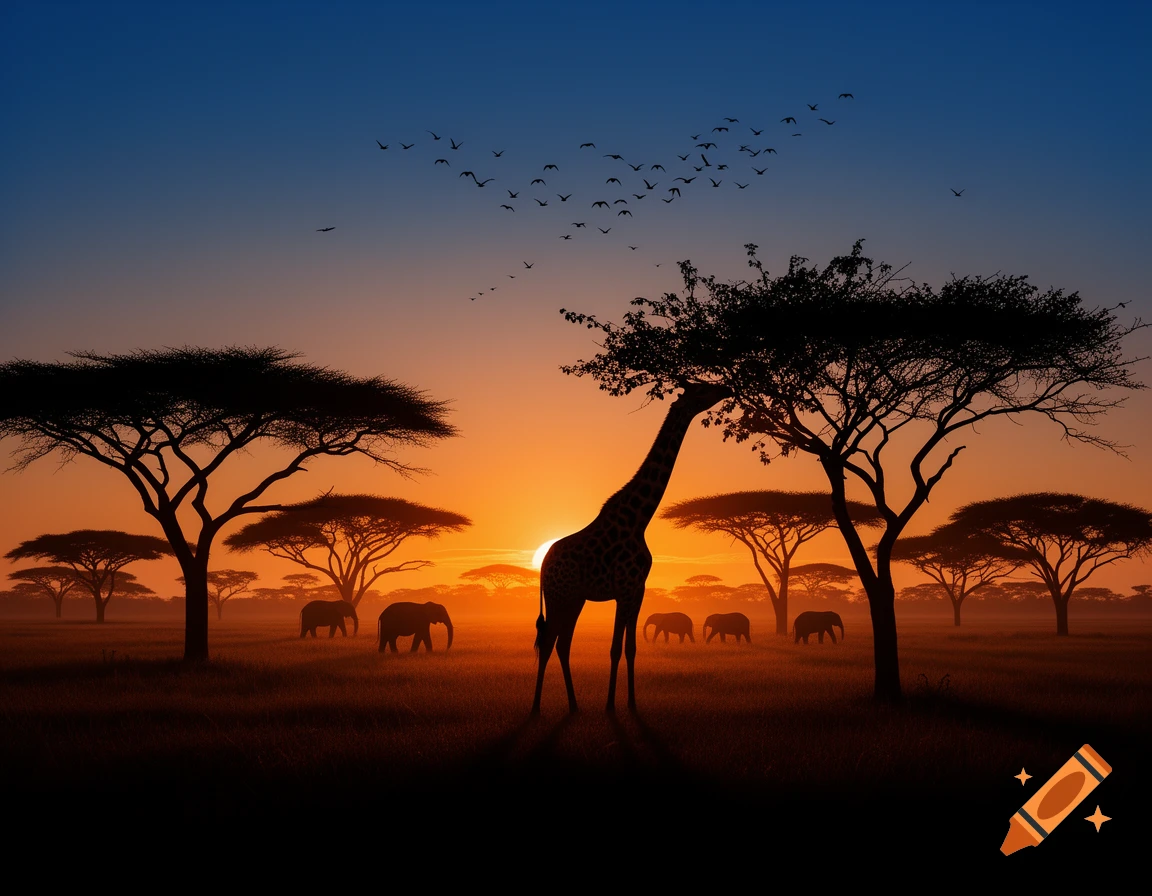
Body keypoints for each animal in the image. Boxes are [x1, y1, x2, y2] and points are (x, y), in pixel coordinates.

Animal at [531, 381, 733, 715]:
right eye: (701, 388)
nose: (726, 388)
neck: (639, 518)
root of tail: (543, 565)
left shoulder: (638, 590)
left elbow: (631, 647)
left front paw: (632, 703)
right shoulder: (624, 589)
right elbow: (614, 648)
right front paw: (610, 706)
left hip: (575, 598)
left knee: (562, 643)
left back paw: (574, 705)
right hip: (560, 596)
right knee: (548, 642)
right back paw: (536, 707)